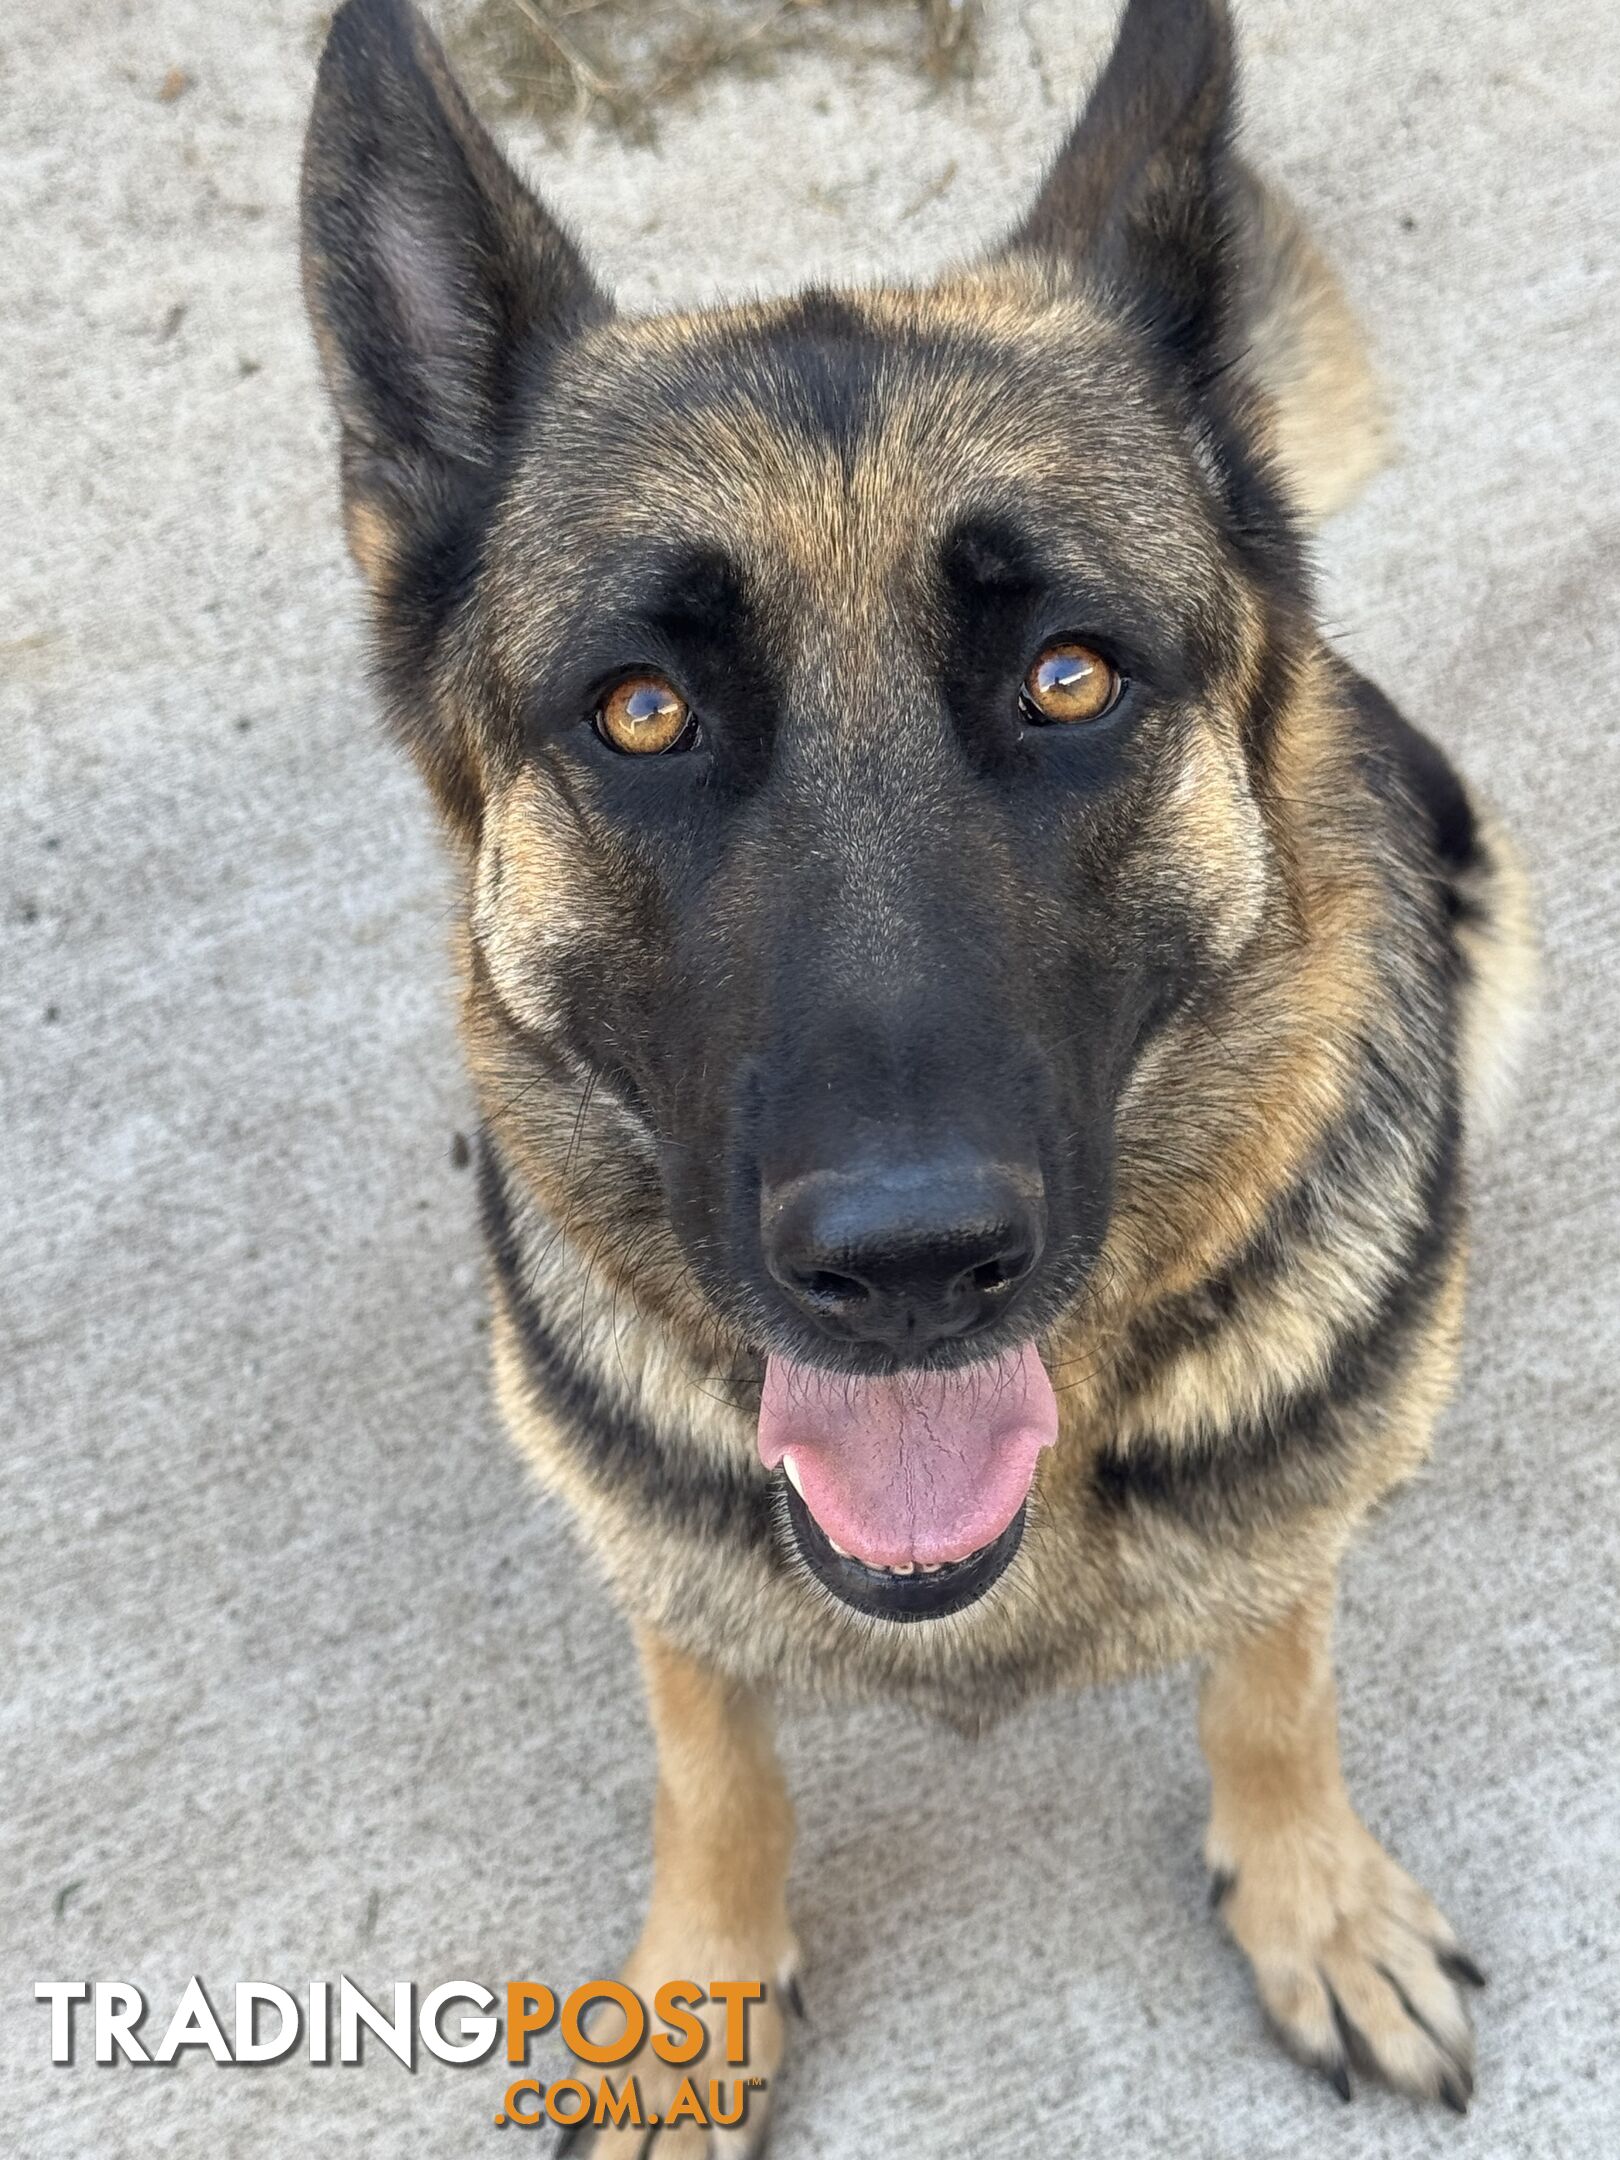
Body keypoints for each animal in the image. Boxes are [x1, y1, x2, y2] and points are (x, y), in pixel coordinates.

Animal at [304, 0, 1537, 2125]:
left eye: (1071, 677)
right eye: (641, 711)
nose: (905, 1269)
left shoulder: (1285, 1510)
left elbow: (1274, 1677)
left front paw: (1310, 1893)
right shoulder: (664, 1564)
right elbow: (714, 1764)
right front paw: (697, 1995)